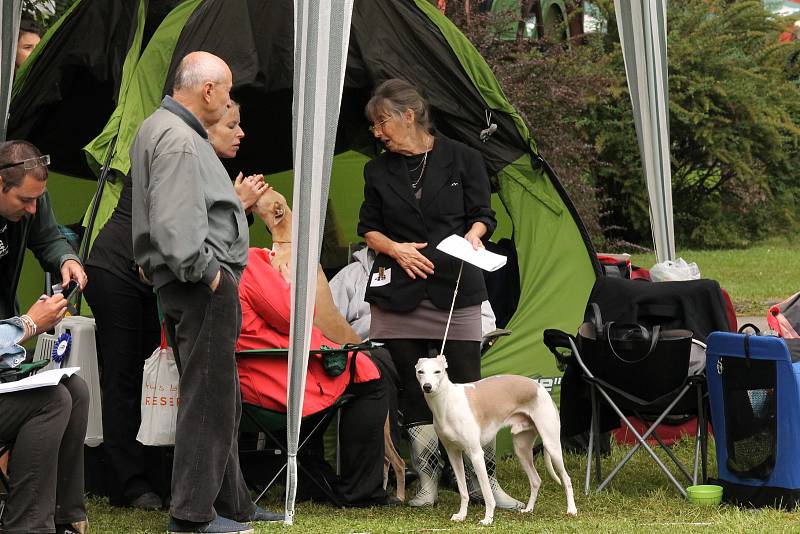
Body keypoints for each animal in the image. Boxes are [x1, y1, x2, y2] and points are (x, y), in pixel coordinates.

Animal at [416, 356, 580, 528]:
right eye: (420, 371)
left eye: (437, 371)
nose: (427, 387)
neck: (447, 402)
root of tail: (539, 386)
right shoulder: (453, 454)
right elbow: (463, 490)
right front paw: (461, 515)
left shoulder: (476, 454)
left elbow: (487, 492)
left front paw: (488, 518)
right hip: (522, 450)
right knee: (536, 480)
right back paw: (528, 509)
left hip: (552, 444)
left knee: (566, 478)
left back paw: (571, 510)